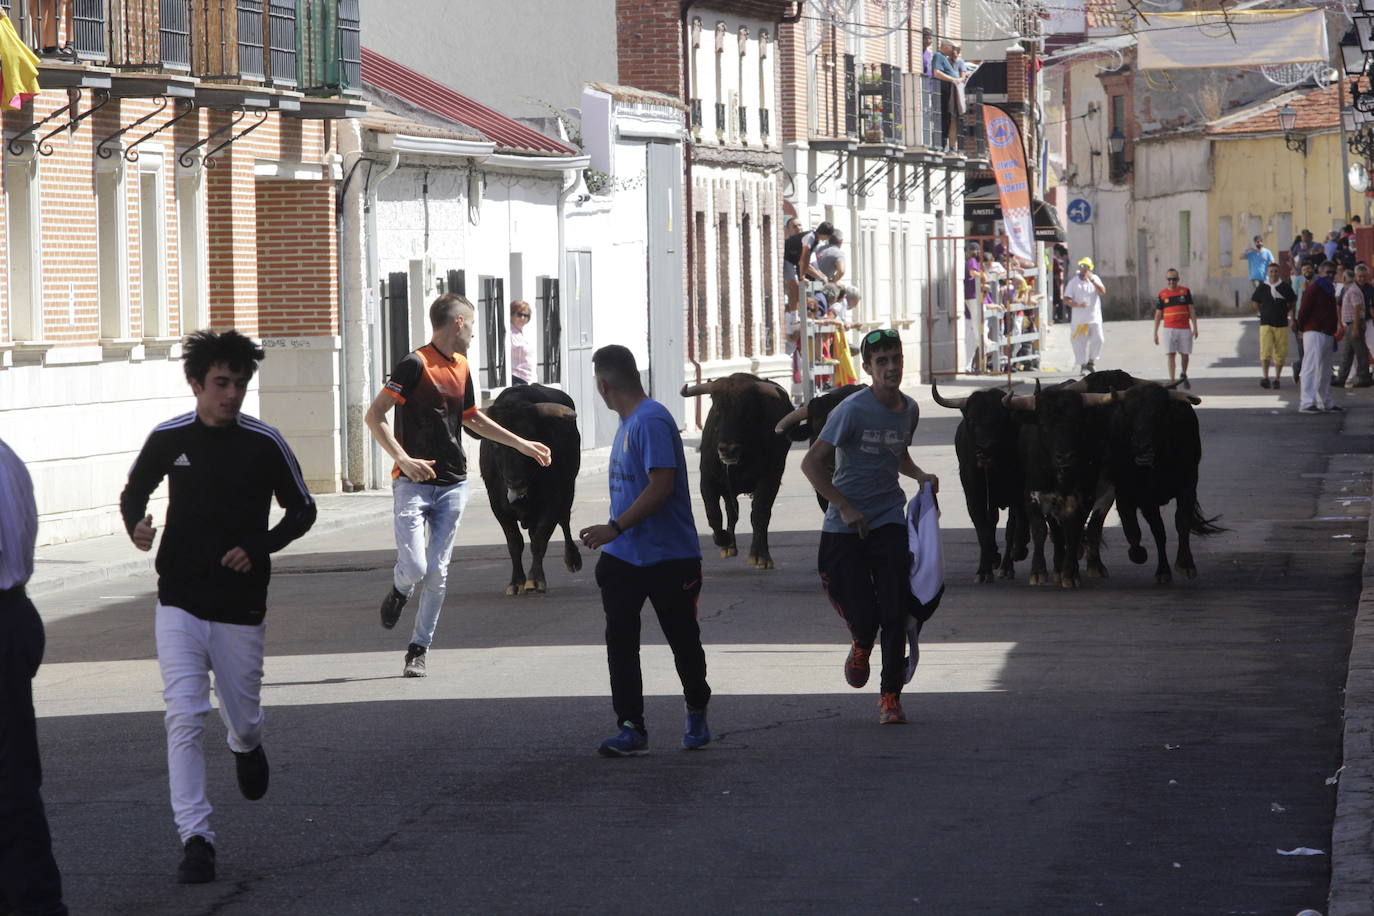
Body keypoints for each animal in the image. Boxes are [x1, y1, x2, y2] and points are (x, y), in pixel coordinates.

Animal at [478, 384, 579, 596]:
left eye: (531, 440)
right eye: (496, 443)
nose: (515, 480)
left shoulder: (553, 502)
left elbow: (540, 540)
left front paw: (535, 580)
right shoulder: (498, 507)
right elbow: (514, 543)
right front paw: (516, 582)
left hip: (568, 490)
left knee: (564, 521)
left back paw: (573, 558)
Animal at [678, 373, 791, 565]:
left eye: (746, 410)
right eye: (717, 409)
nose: (728, 449)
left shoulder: (769, 479)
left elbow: (759, 514)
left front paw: (761, 556)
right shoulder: (708, 480)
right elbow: (714, 513)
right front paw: (724, 539)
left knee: (759, 516)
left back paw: (758, 553)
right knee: (732, 512)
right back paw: (730, 545)